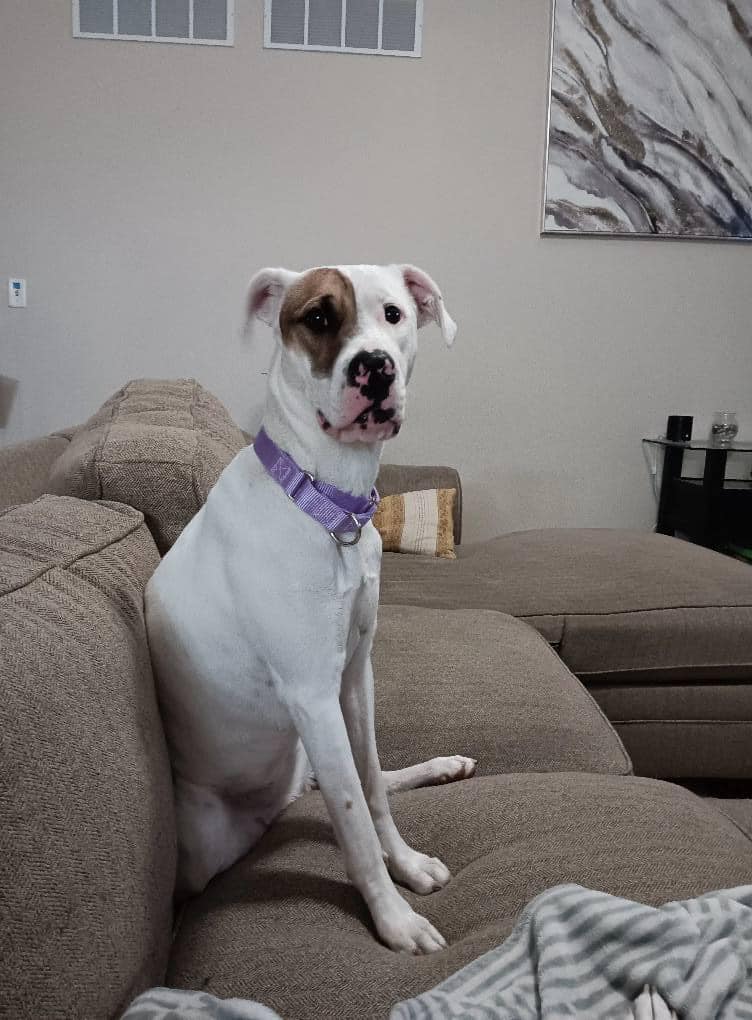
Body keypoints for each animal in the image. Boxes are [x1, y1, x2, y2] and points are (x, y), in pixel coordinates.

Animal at [144, 265, 475, 954]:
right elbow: (354, 826)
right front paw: (394, 920)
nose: (374, 366)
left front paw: (406, 863)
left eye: (394, 315)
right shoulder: (314, 696)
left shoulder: (353, 677)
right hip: (219, 829)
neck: (325, 501)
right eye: (318, 317)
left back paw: (442, 766)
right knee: (324, 797)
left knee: (347, 782)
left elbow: (371, 786)